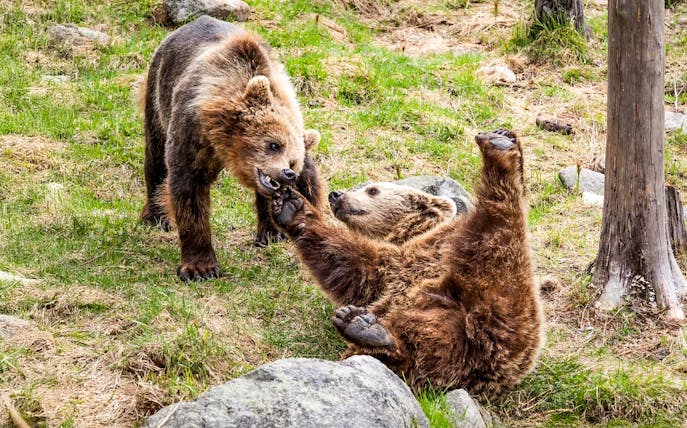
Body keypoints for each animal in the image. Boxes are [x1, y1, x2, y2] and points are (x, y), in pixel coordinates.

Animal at [138, 15, 323, 281]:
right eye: (274, 144)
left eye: (293, 161)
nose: (287, 173)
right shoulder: (192, 132)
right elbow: (189, 188)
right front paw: (200, 268)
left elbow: (308, 186)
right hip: (157, 92)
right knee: (156, 157)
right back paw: (156, 216)